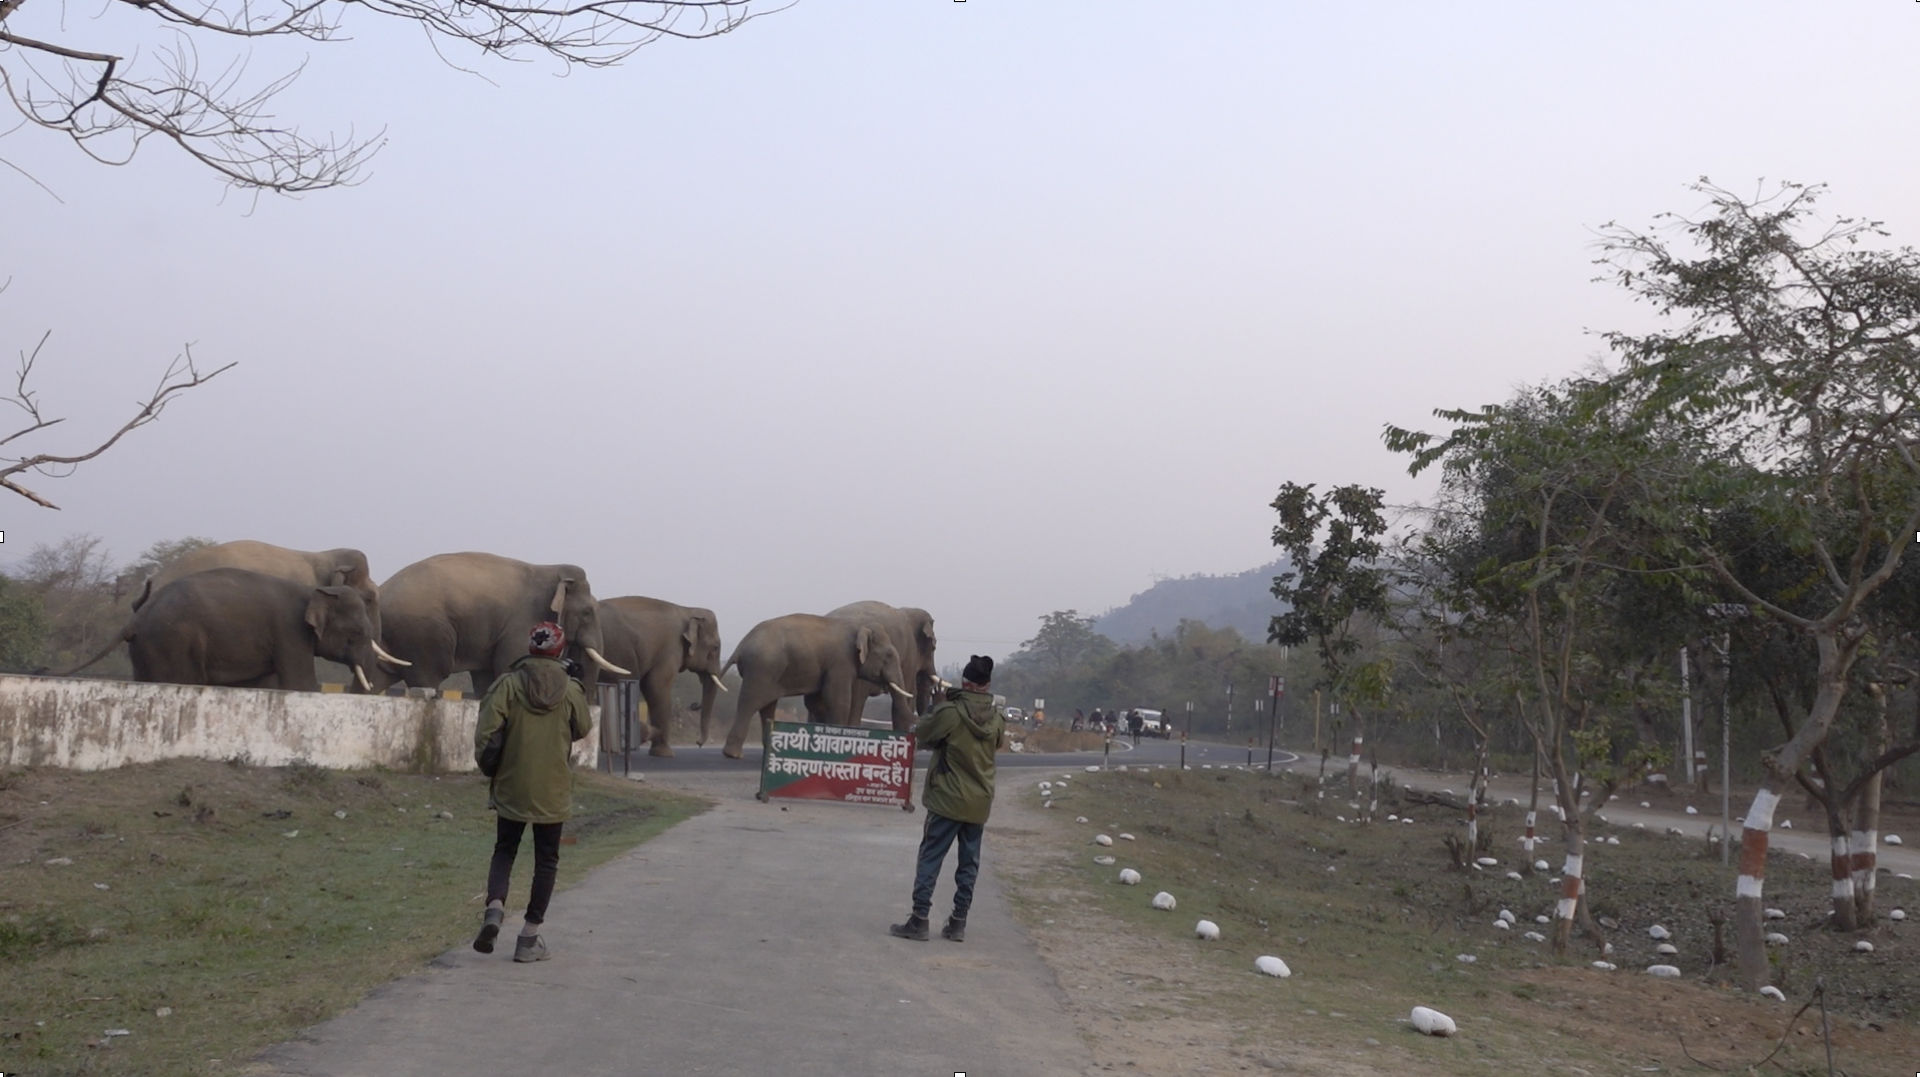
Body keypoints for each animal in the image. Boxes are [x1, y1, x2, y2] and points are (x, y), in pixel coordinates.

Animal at [61, 564, 382, 687]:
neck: (313, 591)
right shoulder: (290, 632)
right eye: (357, 633)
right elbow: (299, 683)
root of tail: (133, 620)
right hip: (173, 642)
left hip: (147, 648)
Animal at [378, 552, 633, 698]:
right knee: (429, 676)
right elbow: (511, 667)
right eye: (587, 613)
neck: (553, 570)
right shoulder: (523, 624)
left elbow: (486, 679)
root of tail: (382, 590)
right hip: (422, 632)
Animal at [595, 595, 721, 756]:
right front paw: (664, 754)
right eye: (715, 647)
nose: (698, 743)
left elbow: (650, 686)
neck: (687, 610)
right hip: (617, 649)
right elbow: (656, 685)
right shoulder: (672, 648)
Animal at [721, 614, 913, 756]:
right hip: (761, 669)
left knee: (767, 706)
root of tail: (741, 645)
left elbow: (816, 702)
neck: (859, 626)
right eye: (889, 656)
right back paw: (733, 755)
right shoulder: (841, 662)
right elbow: (838, 700)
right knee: (750, 702)